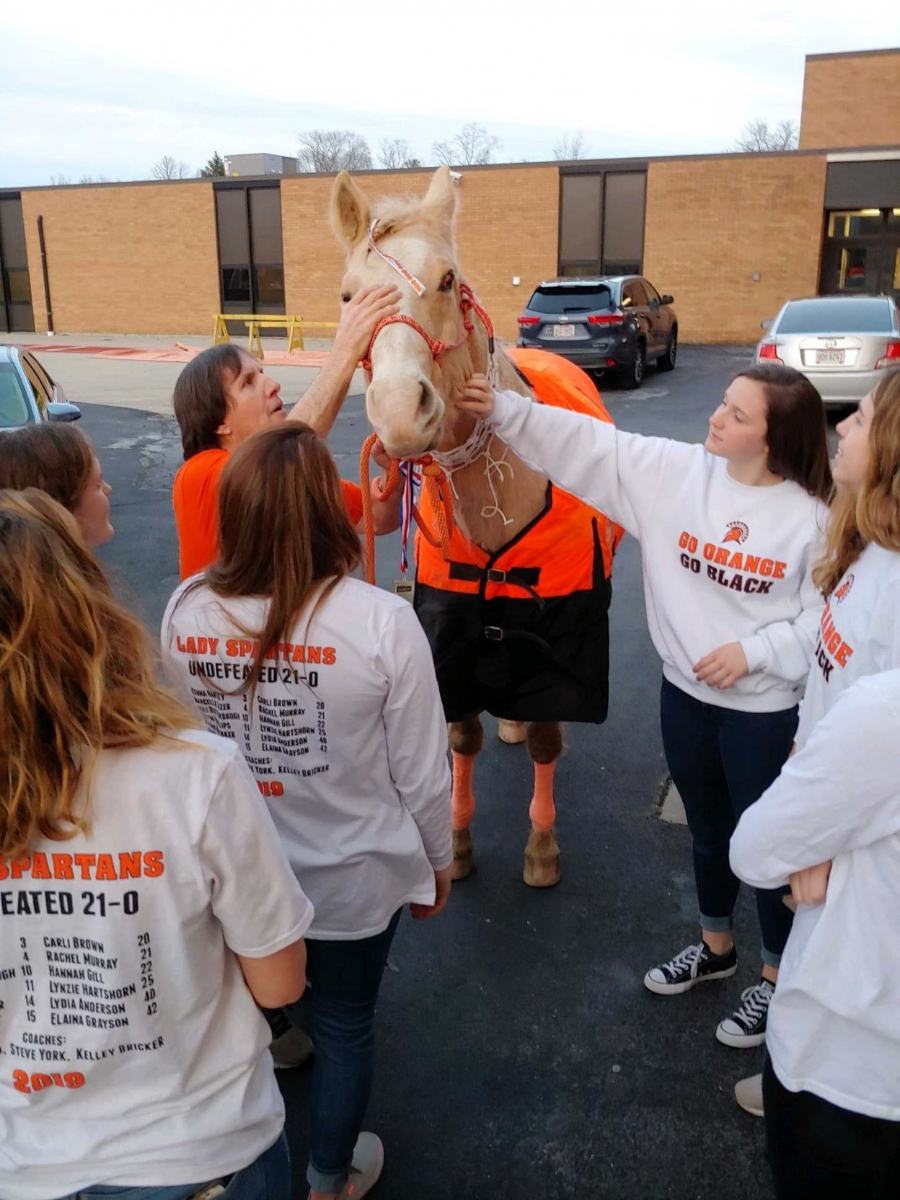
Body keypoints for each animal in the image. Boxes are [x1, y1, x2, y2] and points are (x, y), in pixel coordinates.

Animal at [331, 164, 619, 888]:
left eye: (447, 280)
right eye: (348, 296)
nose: (400, 411)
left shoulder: (561, 636)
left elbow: (547, 735)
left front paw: (541, 849)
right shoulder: (448, 636)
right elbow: (462, 737)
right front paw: (456, 845)